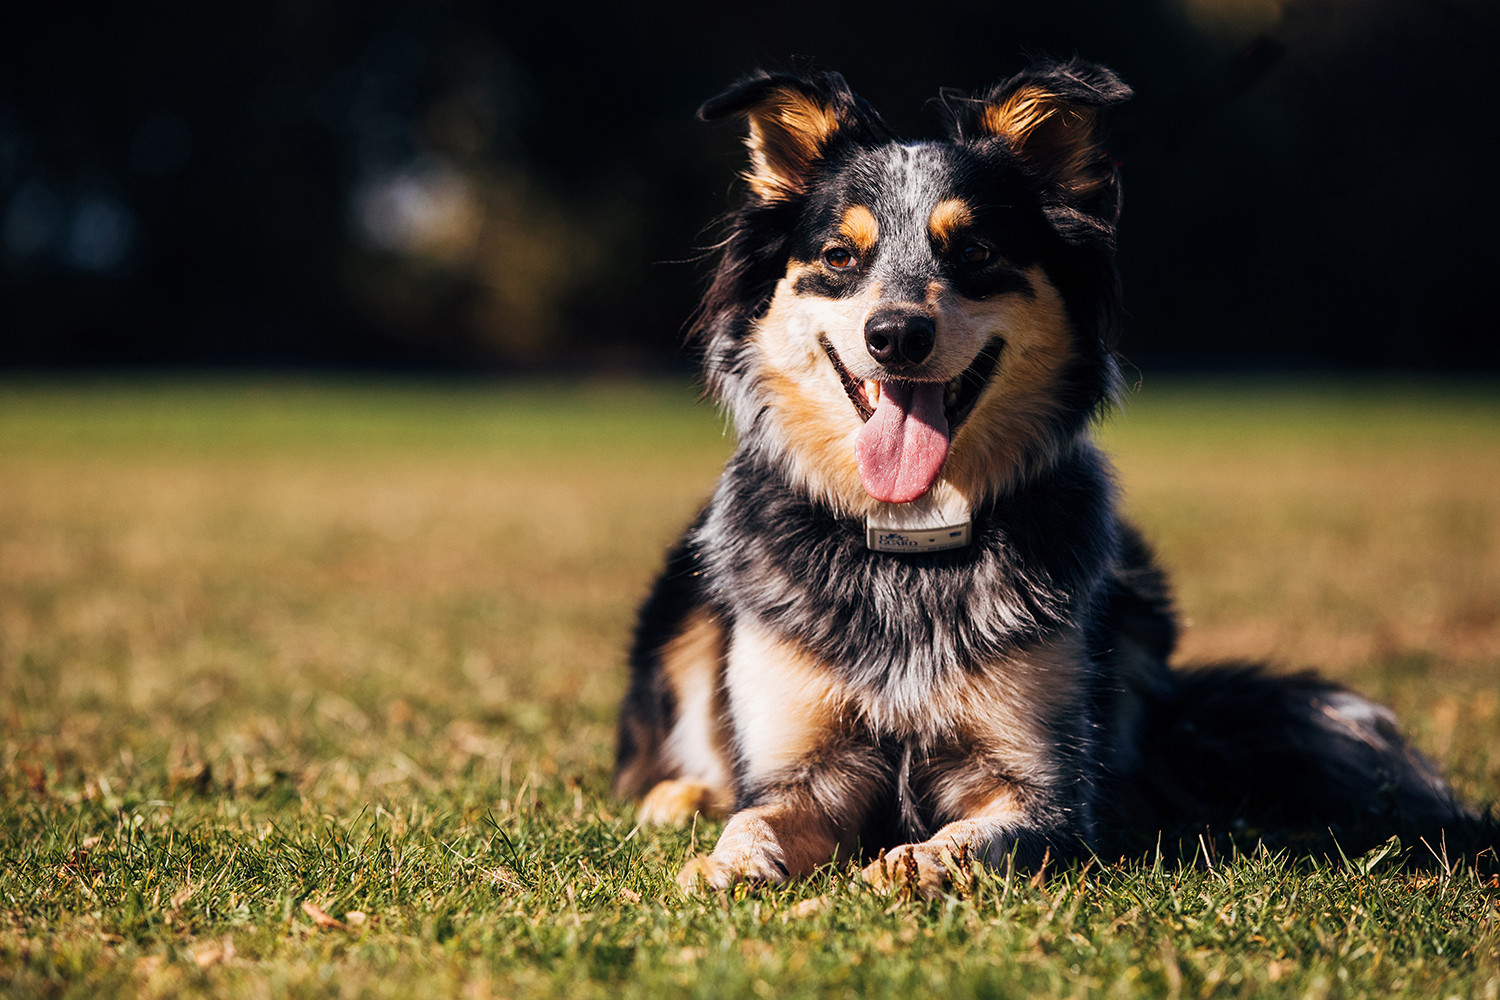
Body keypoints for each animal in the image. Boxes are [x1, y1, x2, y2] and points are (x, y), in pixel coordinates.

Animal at [612, 58, 1476, 893]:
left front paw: (915, 863)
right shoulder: (800, 765)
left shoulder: (1046, 787)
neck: (913, 545)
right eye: (838, 257)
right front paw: (723, 863)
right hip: (686, 599)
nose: (895, 335)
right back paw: (676, 798)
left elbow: (980, 837)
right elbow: (757, 816)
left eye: (975, 253)